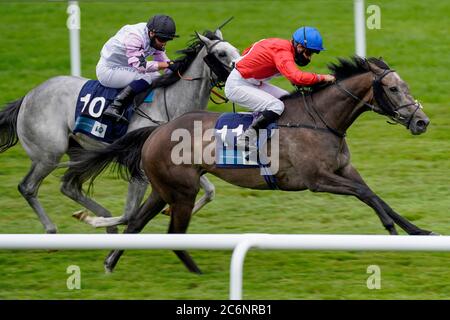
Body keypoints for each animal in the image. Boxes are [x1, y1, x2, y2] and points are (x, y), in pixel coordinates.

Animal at [0, 28, 239, 234]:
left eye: (236, 49)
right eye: (221, 53)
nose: (241, 72)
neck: (169, 103)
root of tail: (27, 97)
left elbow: (210, 191)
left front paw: (168, 209)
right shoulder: (141, 169)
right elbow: (131, 214)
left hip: (81, 151)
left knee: (69, 186)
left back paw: (104, 219)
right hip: (48, 155)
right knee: (28, 187)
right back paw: (52, 230)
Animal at [64, 57, 436, 272]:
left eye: (405, 85)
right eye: (392, 88)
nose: (422, 122)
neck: (321, 120)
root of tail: (157, 130)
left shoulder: (343, 170)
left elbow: (376, 194)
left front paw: (418, 230)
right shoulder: (318, 179)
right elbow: (366, 194)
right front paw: (389, 228)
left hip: (165, 189)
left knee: (137, 223)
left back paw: (111, 261)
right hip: (182, 193)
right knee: (173, 233)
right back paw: (195, 270)